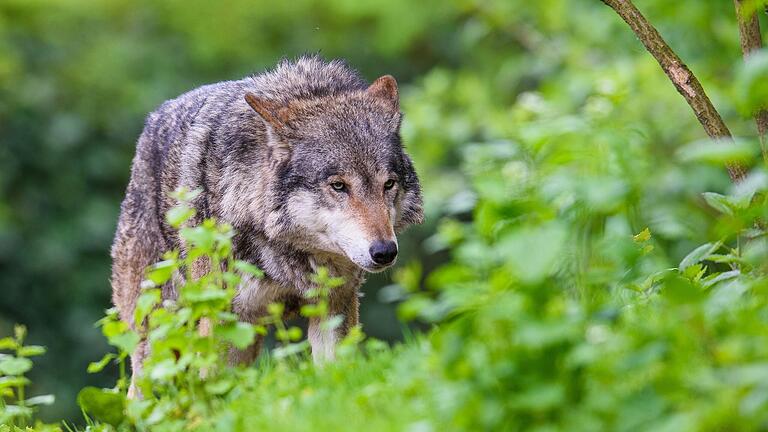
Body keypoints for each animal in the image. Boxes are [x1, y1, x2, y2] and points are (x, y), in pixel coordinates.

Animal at [112, 55, 426, 396]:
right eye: (339, 186)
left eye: (389, 184)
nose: (384, 251)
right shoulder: (220, 320)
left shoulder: (334, 306)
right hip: (159, 336)